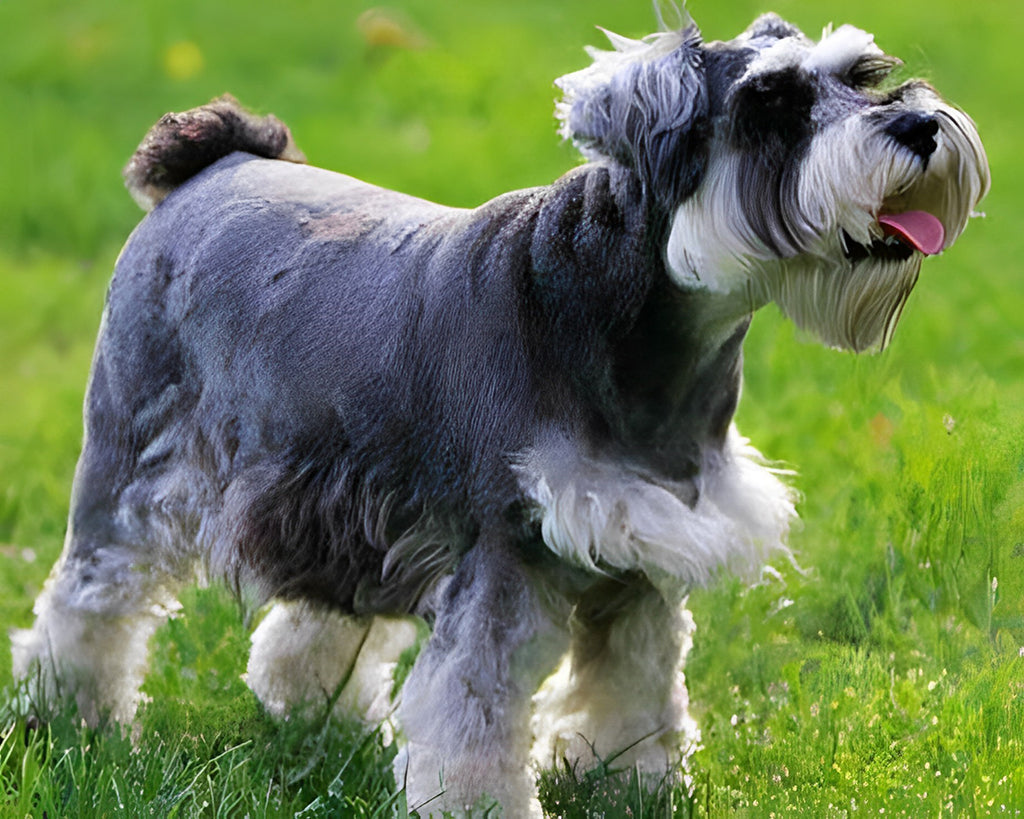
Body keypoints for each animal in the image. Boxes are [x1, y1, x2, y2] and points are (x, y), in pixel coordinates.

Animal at [12, 7, 987, 818]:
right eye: (771, 104)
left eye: (864, 73)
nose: (918, 125)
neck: (626, 322)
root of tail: (217, 160)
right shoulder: (502, 558)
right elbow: (473, 717)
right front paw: (486, 802)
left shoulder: (644, 555)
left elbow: (637, 687)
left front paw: (633, 781)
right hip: (131, 471)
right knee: (87, 599)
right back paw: (71, 718)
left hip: (336, 498)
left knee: (320, 613)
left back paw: (315, 711)